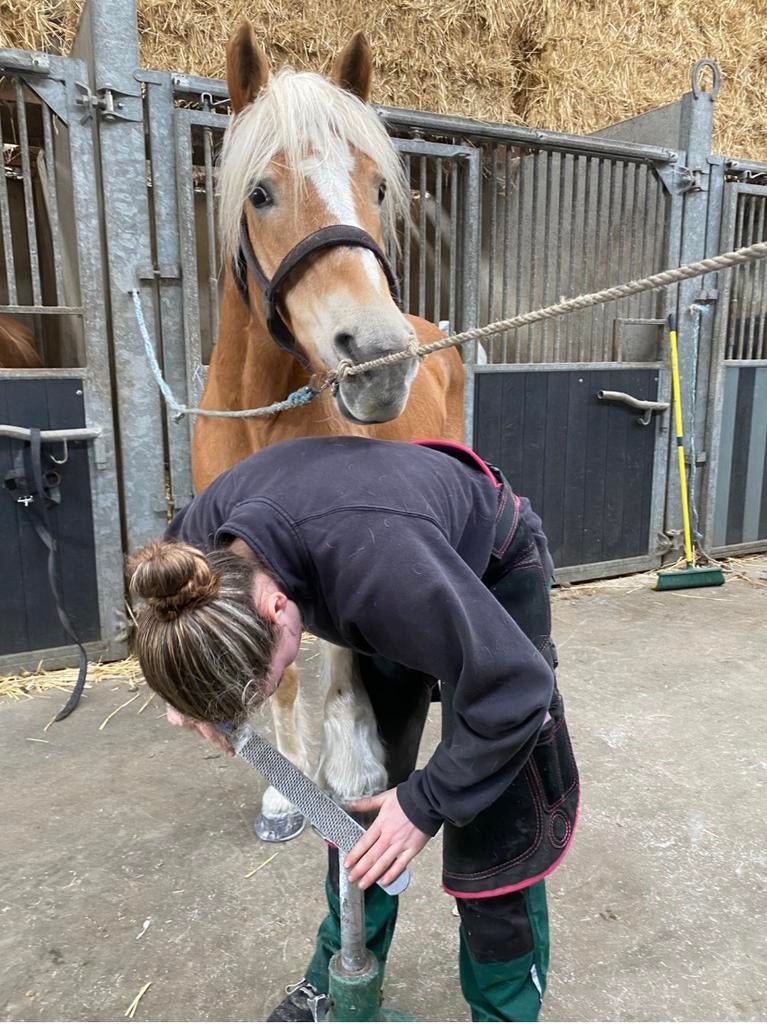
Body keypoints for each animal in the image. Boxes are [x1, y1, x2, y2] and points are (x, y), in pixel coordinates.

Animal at [191, 21, 464, 840]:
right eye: (260, 193)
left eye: (376, 185)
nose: (378, 360)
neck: (260, 417)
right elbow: (277, 677)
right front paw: (285, 793)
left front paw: (350, 766)